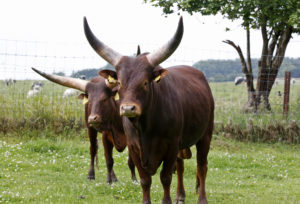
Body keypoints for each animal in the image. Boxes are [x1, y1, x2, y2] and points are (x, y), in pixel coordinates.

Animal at [84, 16, 214, 204]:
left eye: (145, 82)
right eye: (119, 83)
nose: (128, 108)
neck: (145, 127)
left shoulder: (171, 145)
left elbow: (166, 177)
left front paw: (166, 201)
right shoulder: (134, 148)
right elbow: (145, 180)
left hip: (205, 135)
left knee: (201, 166)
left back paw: (202, 199)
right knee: (181, 167)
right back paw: (180, 196)